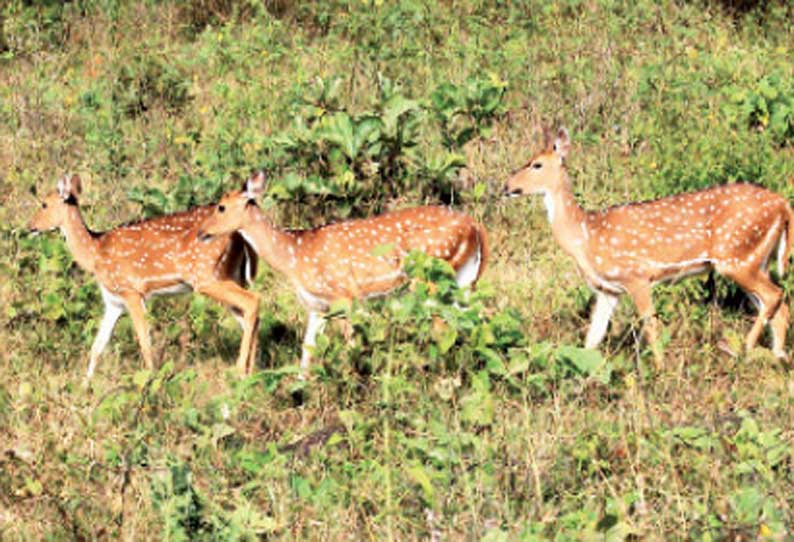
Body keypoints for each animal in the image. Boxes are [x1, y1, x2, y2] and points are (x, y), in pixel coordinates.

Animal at [28, 176, 260, 380]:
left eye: (44, 204)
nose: (29, 226)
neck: (95, 253)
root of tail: (240, 235)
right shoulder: (113, 301)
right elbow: (97, 346)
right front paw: (86, 386)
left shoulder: (131, 291)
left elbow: (144, 340)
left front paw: (150, 381)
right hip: (230, 275)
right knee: (250, 315)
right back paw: (253, 372)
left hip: (206, 276)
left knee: (253, 301)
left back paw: (242, 372)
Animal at [195, 172, 486, 376]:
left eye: (221, 206)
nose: (201, 232)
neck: (294, 256)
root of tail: (475, 226)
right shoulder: (317, 306)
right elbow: (306, 355)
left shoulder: (346, 295)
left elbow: (351, 348)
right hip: (464, 278)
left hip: (431, 277)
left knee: (443, 326)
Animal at [504, 129, 788, 366]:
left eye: (536, 164)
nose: (506, 186)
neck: (586, 236)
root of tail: (784, 206)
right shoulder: (608, 290)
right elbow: (592, 339)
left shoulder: (638, 276)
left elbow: (650, 327)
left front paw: (661, 371)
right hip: (754, 260)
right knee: (778, 306)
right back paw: (777, 358)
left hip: (737, 258)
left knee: (775, 295)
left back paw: (743, 351)